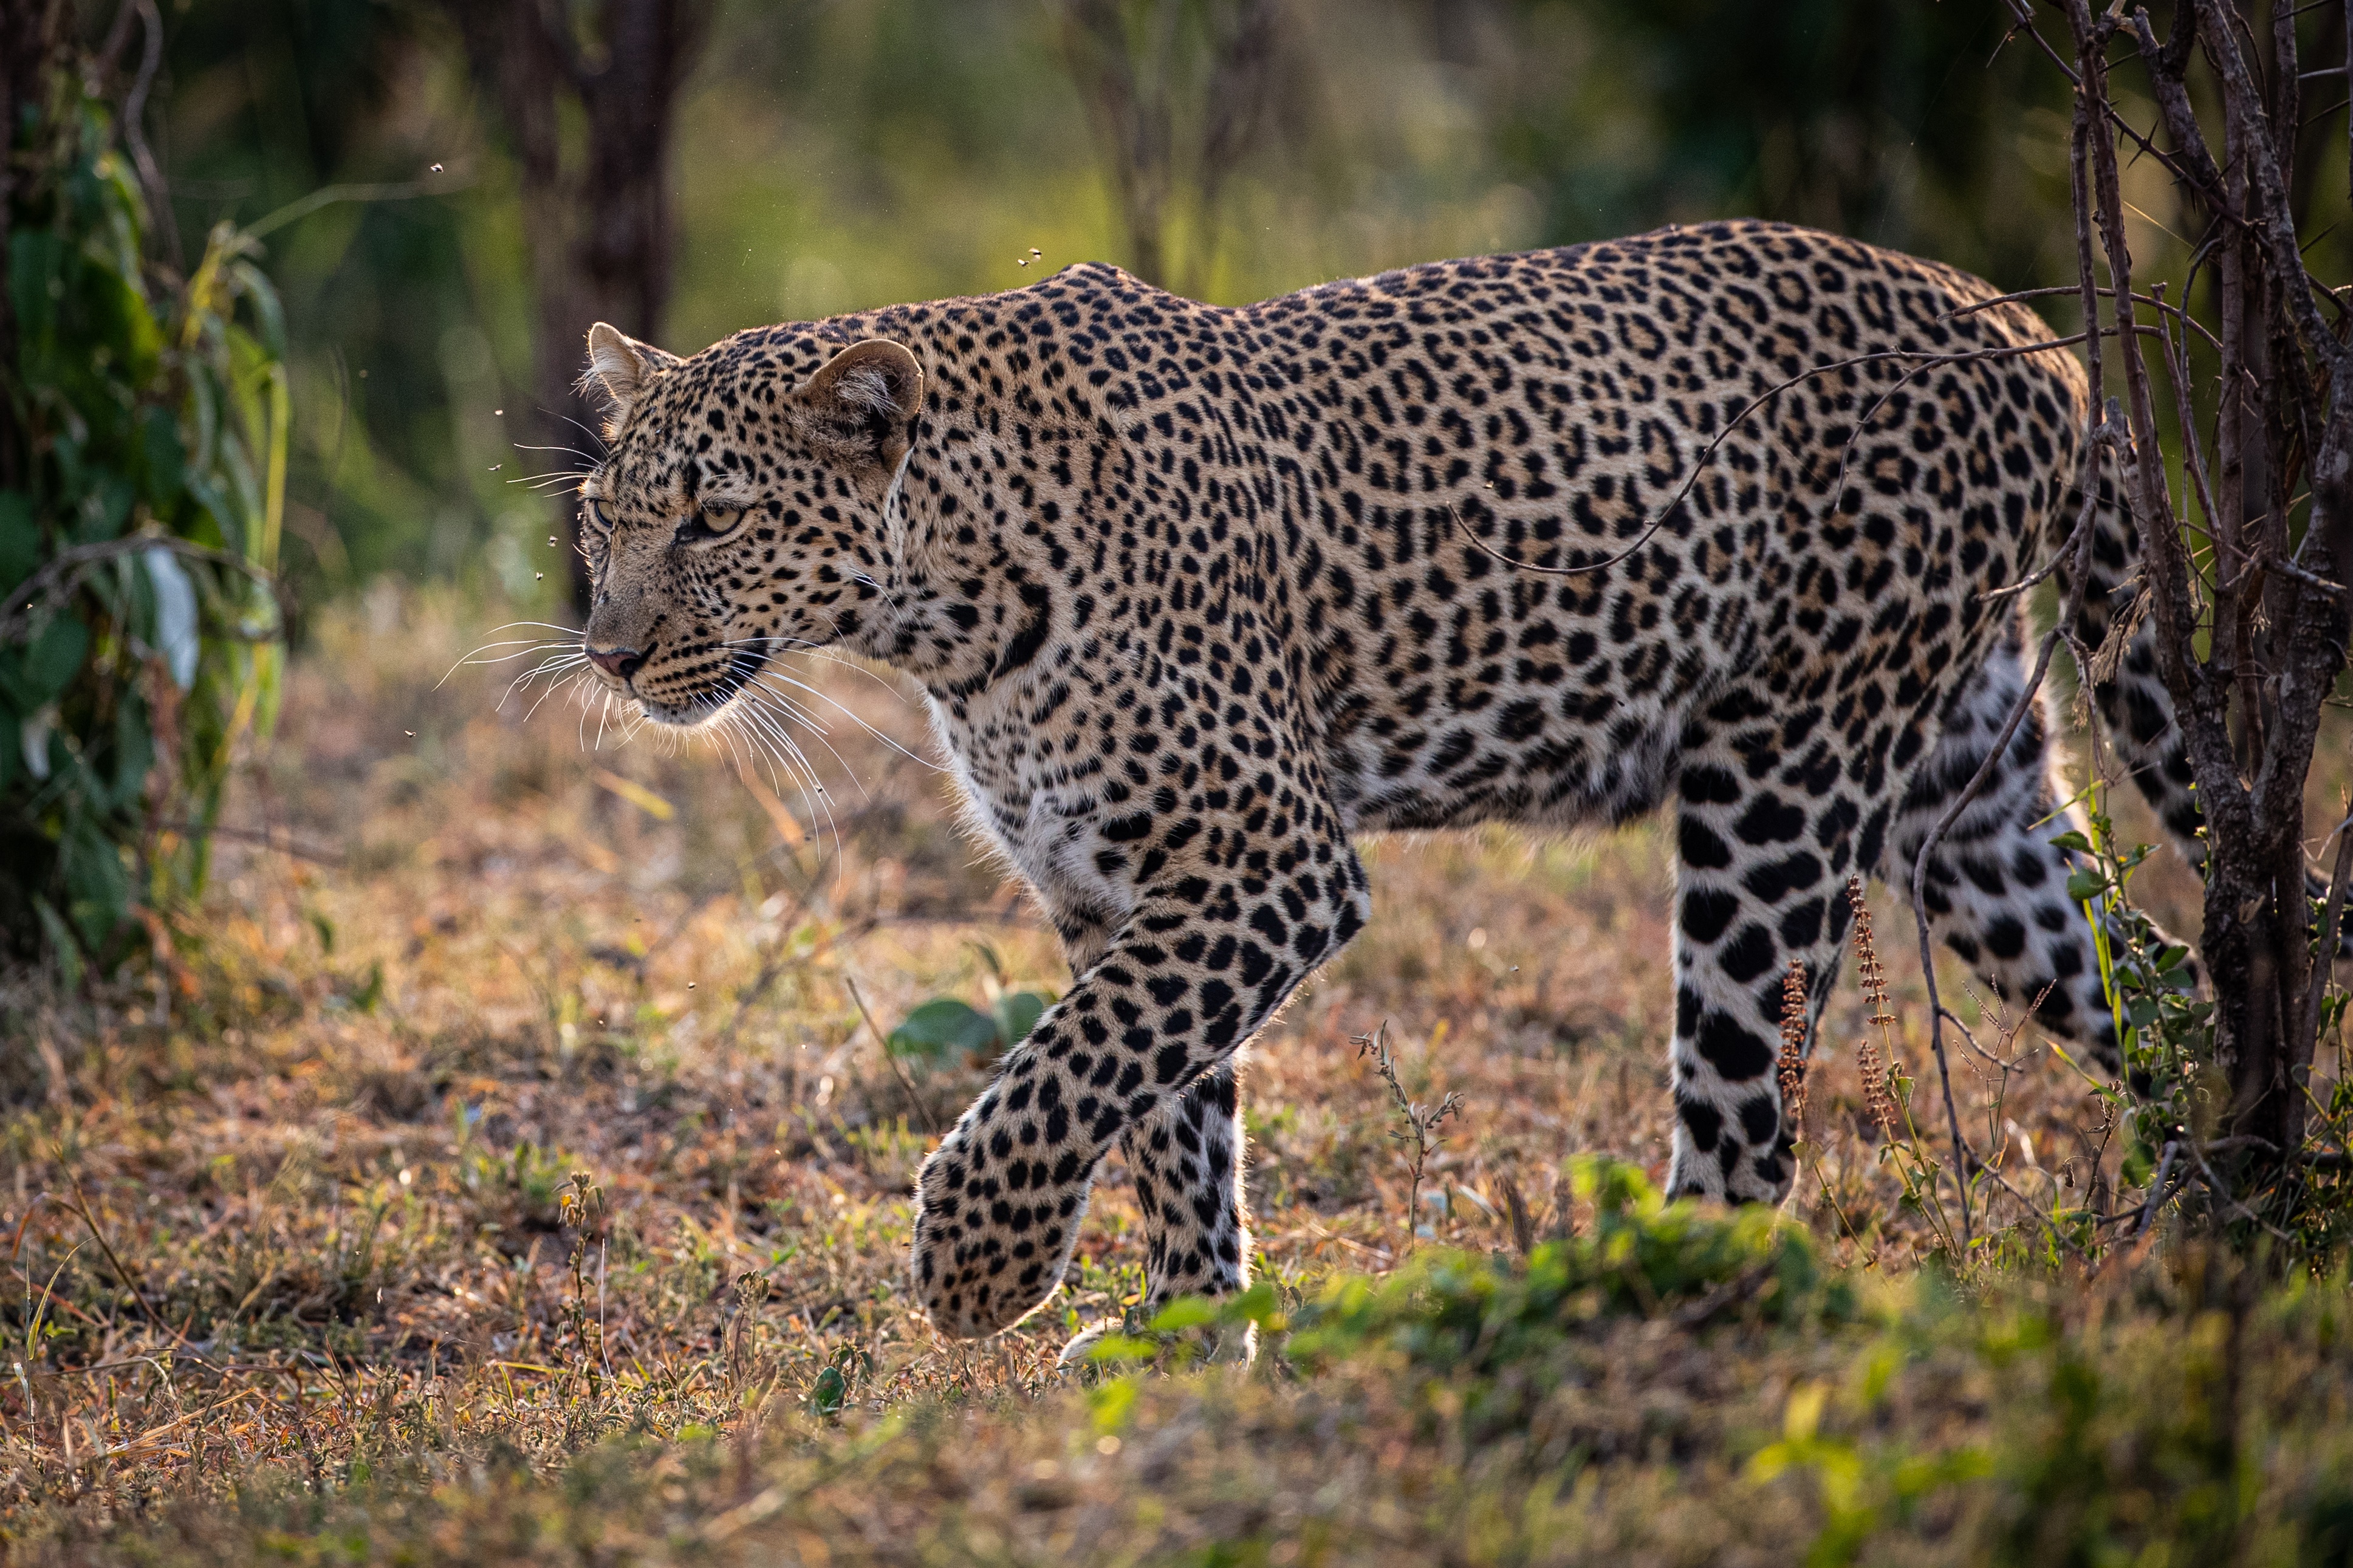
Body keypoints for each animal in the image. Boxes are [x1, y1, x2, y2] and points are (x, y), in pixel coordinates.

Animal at [569, 216, 2221, 1346]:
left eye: (715, 518)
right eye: (605, 513)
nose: (607, 650)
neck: (945, 607)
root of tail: (2034, 336)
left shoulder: (1267, 859)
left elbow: (1066, 1073)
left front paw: (981, 1266)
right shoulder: (1112, 885)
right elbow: (1166, 1118)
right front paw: (1188, 1349)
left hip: (1780, 778)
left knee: (1745, 1122)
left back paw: (1629, 1302)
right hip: (1965, 793)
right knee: (2156, 974)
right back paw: (2216, 1205)